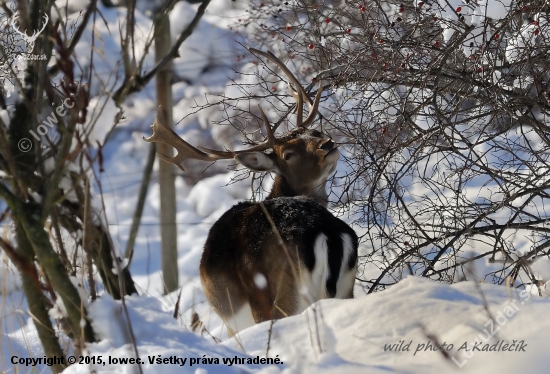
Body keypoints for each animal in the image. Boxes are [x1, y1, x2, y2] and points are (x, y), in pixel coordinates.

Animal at [144, 47, 360, 336]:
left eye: (314, 132)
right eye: (288, 154)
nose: (327, 143)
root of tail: (326, 233)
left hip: (276, 296)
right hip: (345, 289)